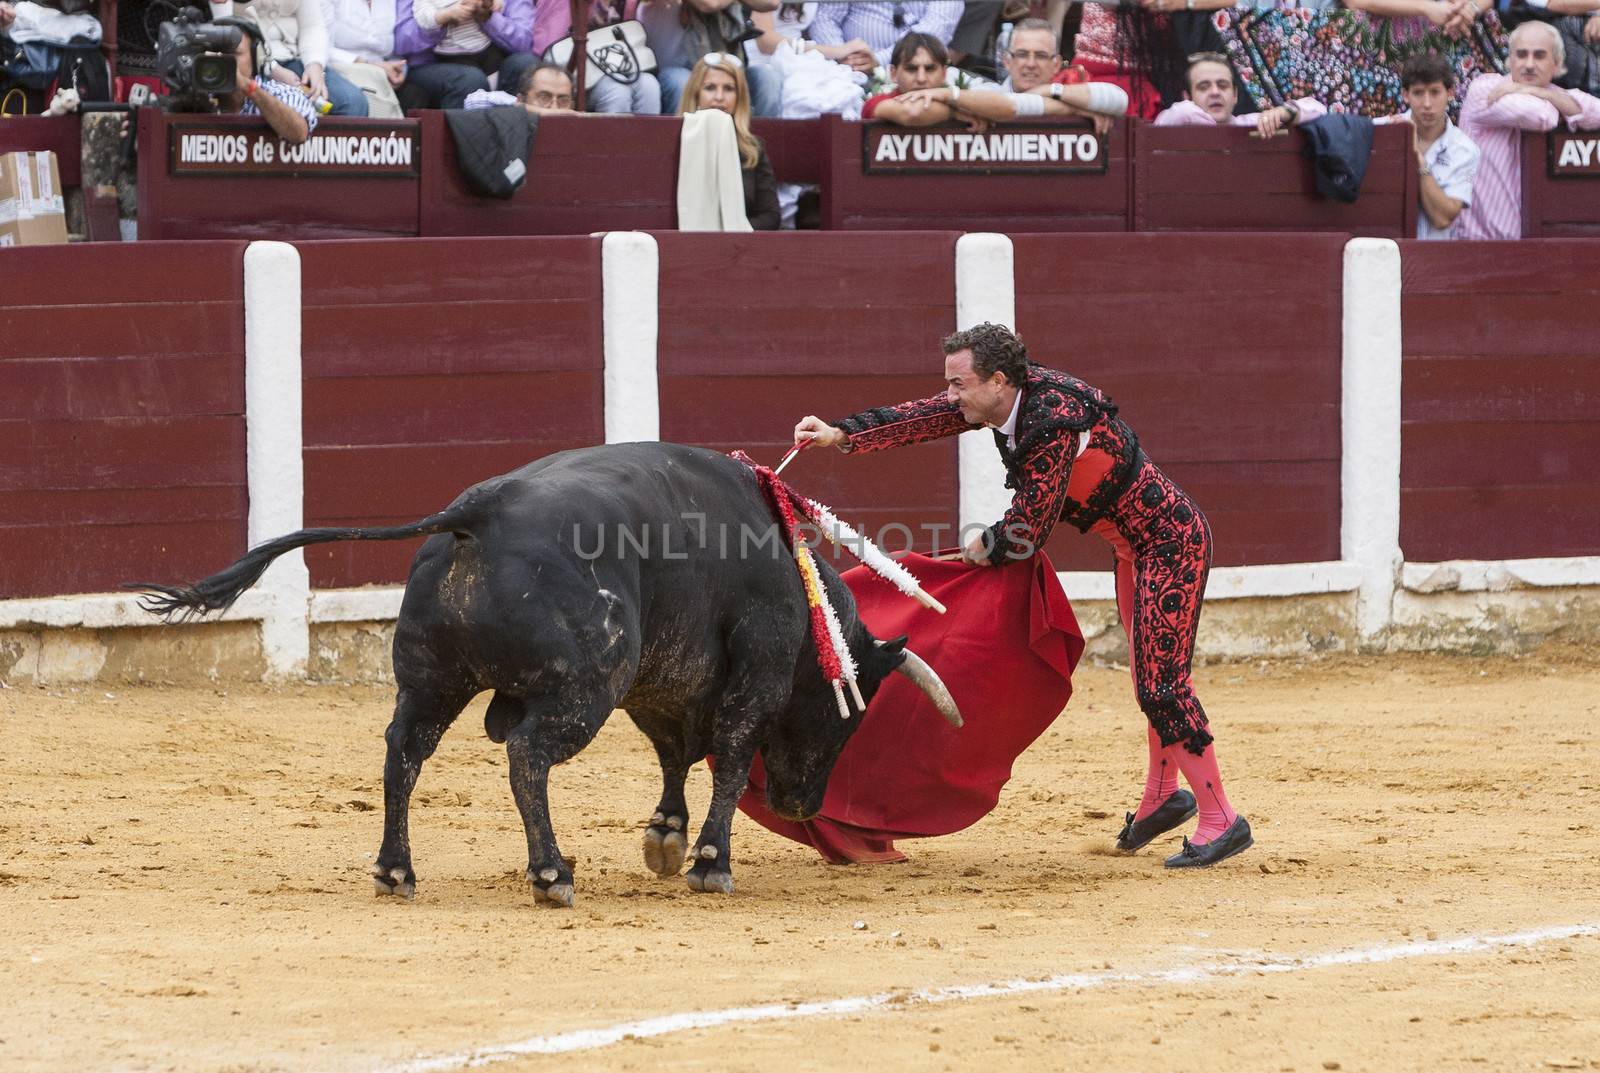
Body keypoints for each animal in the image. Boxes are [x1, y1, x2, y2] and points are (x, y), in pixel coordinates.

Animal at [134, 444, 960, 908]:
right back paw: (551, 873)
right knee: (527, 755)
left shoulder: (657, 680)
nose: (800, 804)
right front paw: (709, 861)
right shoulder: (745, 669)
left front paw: (666, 838)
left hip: (434, 681)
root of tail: (477, 513)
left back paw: (397, 871)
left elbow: (676, 752)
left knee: (403, 751)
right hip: (583, 689)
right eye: (852, 709)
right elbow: (725, 756)